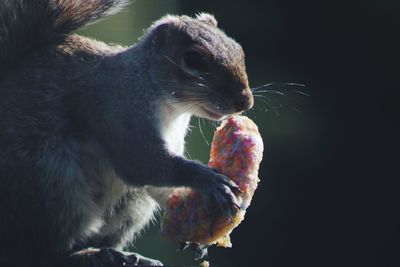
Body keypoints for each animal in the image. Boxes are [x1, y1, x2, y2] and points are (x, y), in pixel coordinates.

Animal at [0, 1, 253, 266]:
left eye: (238, 49)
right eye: (193, 59)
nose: (245, 102)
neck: (172, 108)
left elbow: (163, 188)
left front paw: (196, 233)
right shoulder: (119, 109)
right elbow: (142, 164)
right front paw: (209, 179)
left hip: (130, 203)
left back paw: (125, 255)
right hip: (52, 186)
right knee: (42, 253)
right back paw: (89, 254)